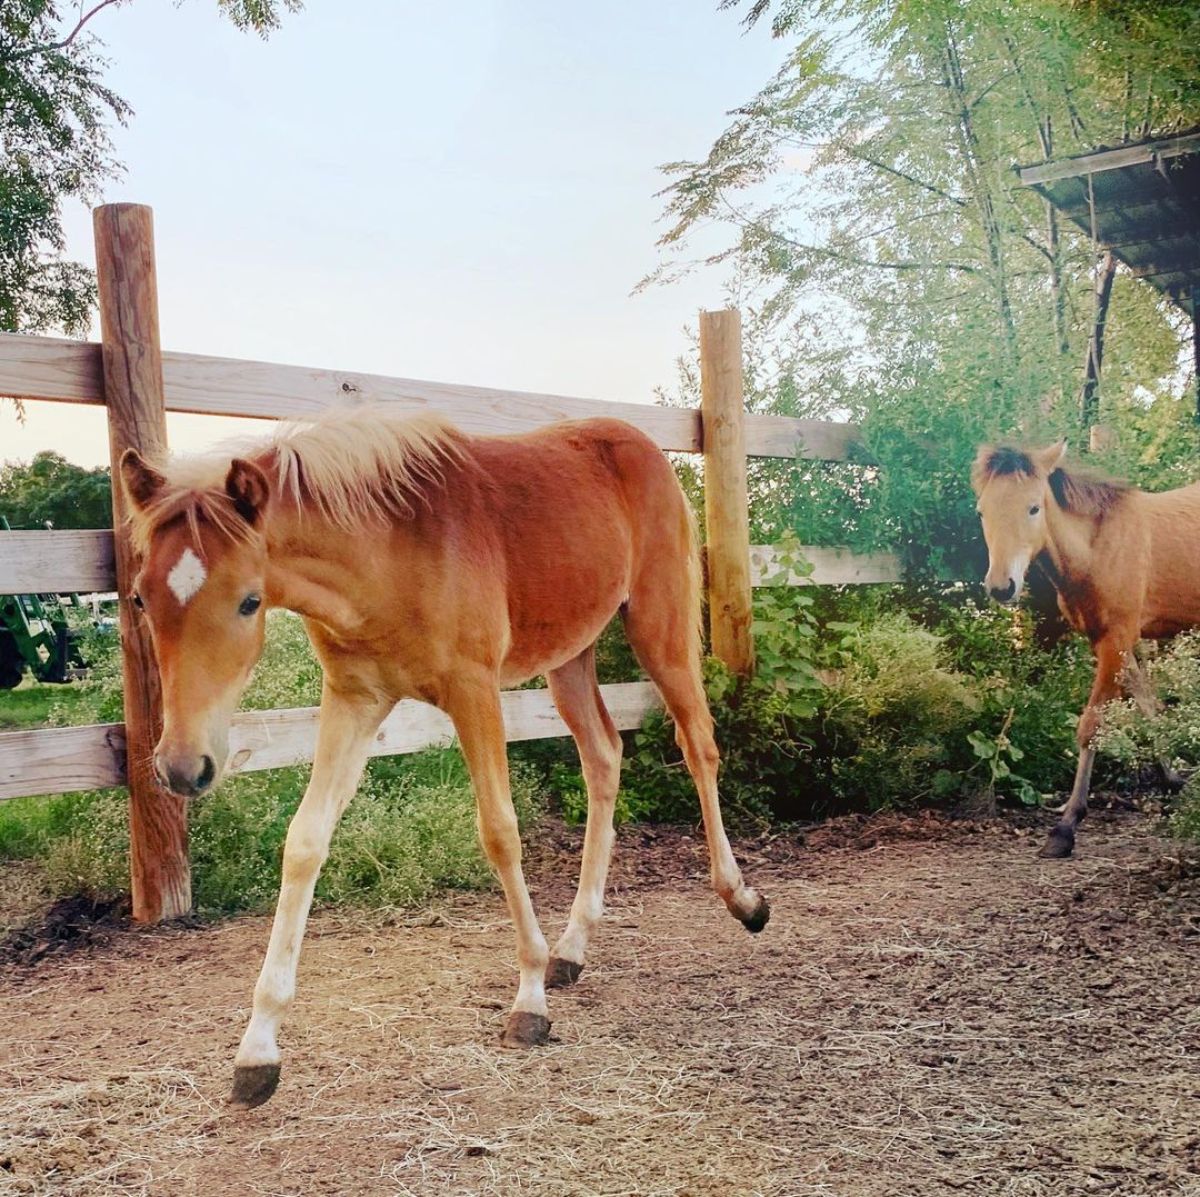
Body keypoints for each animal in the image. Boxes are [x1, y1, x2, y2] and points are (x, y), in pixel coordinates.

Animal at [117, 407, 763, 1108]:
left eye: (249, 600)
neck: (389, 548)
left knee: (697, 745)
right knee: (604, 756)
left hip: (657, 624)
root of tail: (640, 442)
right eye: (141, 598)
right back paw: (573, 946)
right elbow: (305, 842)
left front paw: (529, 999)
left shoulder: (473, 690)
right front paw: (258, 1049)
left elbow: (500, 831)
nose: (183, 767)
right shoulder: (355, 700)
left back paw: (741, 898)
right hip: (570, 654)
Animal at [974, 446, 1200, 858]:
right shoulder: (1109, 642)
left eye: (1034, 508)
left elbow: (1091, 724)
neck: (1097, 548)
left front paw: (1066, 826)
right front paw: (1174, 778)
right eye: (982, 511)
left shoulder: (1116, 640)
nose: (1001, 587)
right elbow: (1148, 704)